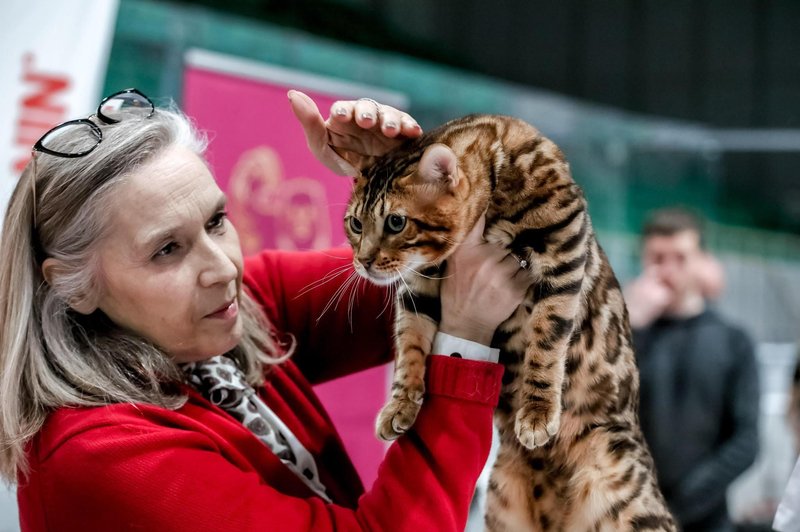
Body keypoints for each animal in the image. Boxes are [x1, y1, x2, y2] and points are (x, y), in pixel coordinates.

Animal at [338, 114, 676, 528]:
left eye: (396, 222)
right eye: (355, 224)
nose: (364, 262)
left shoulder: (563, 251)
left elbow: (546, 342)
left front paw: (537, 413)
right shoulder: (419, 288)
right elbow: (410, 346)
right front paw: (401, 404)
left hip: (631, 502)